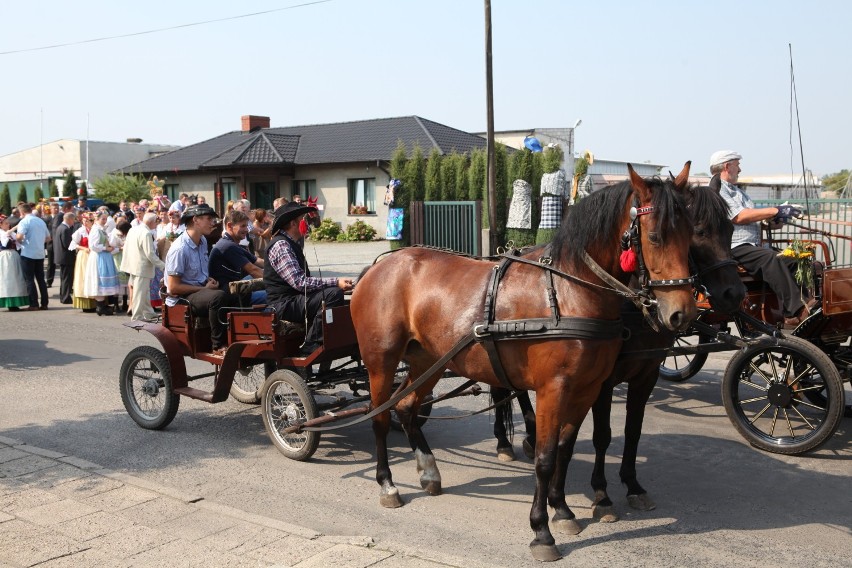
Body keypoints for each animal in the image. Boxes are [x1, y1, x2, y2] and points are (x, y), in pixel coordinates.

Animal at [352, 163, 700, 560]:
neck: (569, 291)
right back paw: (387, 484)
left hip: (432, 360)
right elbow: (545, 458)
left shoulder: (587, 388)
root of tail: (380, 266)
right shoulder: (554, 389)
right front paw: (541, 531)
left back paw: (428, 471)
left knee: (407, 406)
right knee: (380, 417)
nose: (681, 314)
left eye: (691, 235)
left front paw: (561, 509)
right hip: (381, 362)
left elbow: (565, 449)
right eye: (655, 236)